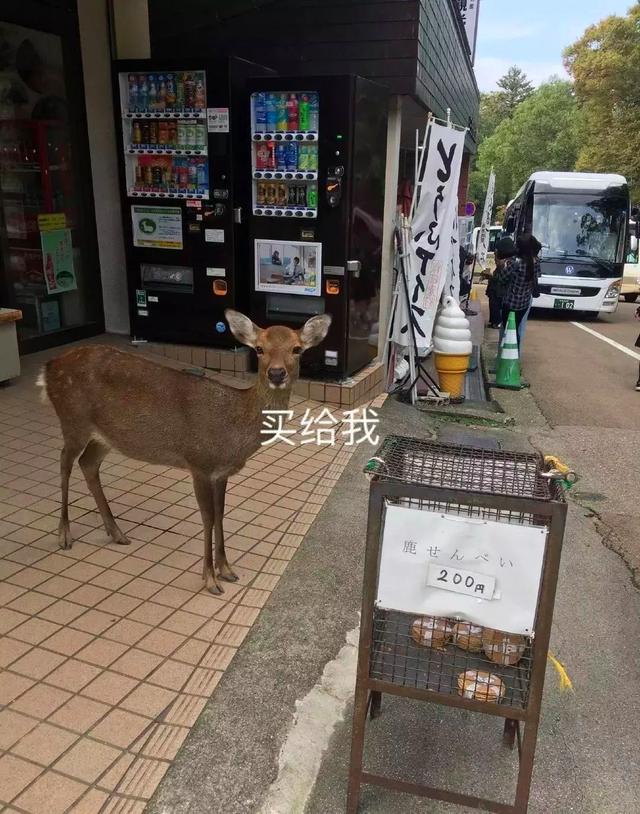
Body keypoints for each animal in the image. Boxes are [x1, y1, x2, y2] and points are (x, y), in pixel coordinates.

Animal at [38, 310, 332, 596]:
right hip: (73, 419)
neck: (234, 428)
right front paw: (210, 580)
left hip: (105, 436)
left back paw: (116, 532)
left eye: (296, 348)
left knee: (88, 463)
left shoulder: (221, 472)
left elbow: (220, 514)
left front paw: (227, 569)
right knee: (64, 462)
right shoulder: (199, 462)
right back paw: (64, 534)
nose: (276, 373)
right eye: (259, 348)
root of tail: (48, 368)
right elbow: (208, 518)